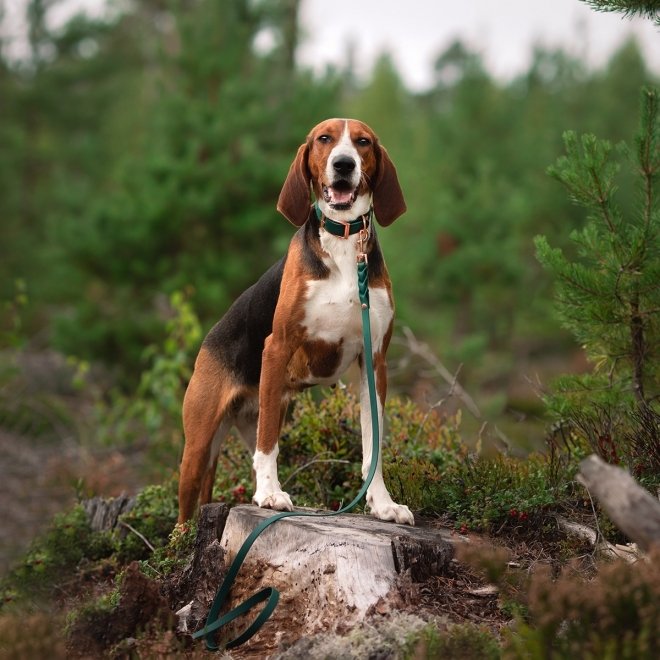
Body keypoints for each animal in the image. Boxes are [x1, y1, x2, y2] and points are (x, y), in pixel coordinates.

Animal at [175, 120, 412, 524]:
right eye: (324, 139)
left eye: (363, 142)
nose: (344, 164)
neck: (343, 242)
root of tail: (209, 341)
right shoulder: (278, 347)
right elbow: (268, 444)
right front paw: (270, 495)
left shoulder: (374, 361)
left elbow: (373, 447)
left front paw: (382, 504)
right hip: (199, 443)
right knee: (187, 508)